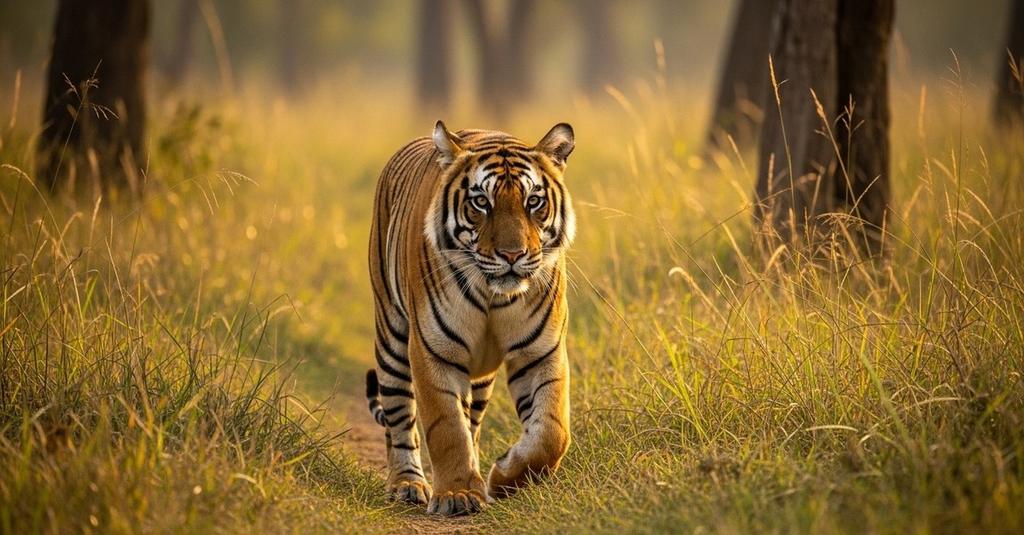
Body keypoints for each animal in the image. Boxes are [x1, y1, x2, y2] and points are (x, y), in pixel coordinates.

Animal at [363, 120, 576, 516]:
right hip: (392, 336)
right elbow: (446, 427)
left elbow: (551, 433)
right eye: (481, 202)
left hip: (480, 378)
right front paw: (458, 494)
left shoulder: (541, 352)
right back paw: (407, 484)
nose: (512, 254)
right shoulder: (434, 350)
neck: (494, 295)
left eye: (533, 201)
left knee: (473, 422)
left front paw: (504, 478)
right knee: (400, 419)